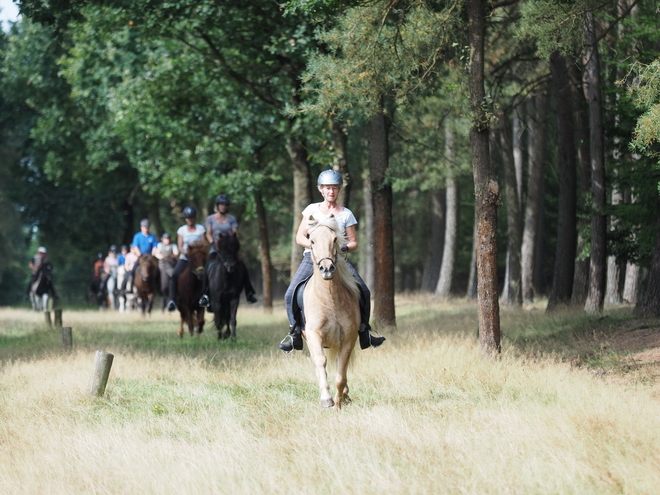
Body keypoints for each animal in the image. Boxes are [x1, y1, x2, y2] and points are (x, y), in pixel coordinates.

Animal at [304, 215, 360, 408]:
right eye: (311, 241)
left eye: (335, 239)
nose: (327, 269)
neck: (329, 299)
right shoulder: (313, 334)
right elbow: (321, 361)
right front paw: (327, 399)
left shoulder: (349, 338)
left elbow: (341, 374)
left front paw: (339, 401)